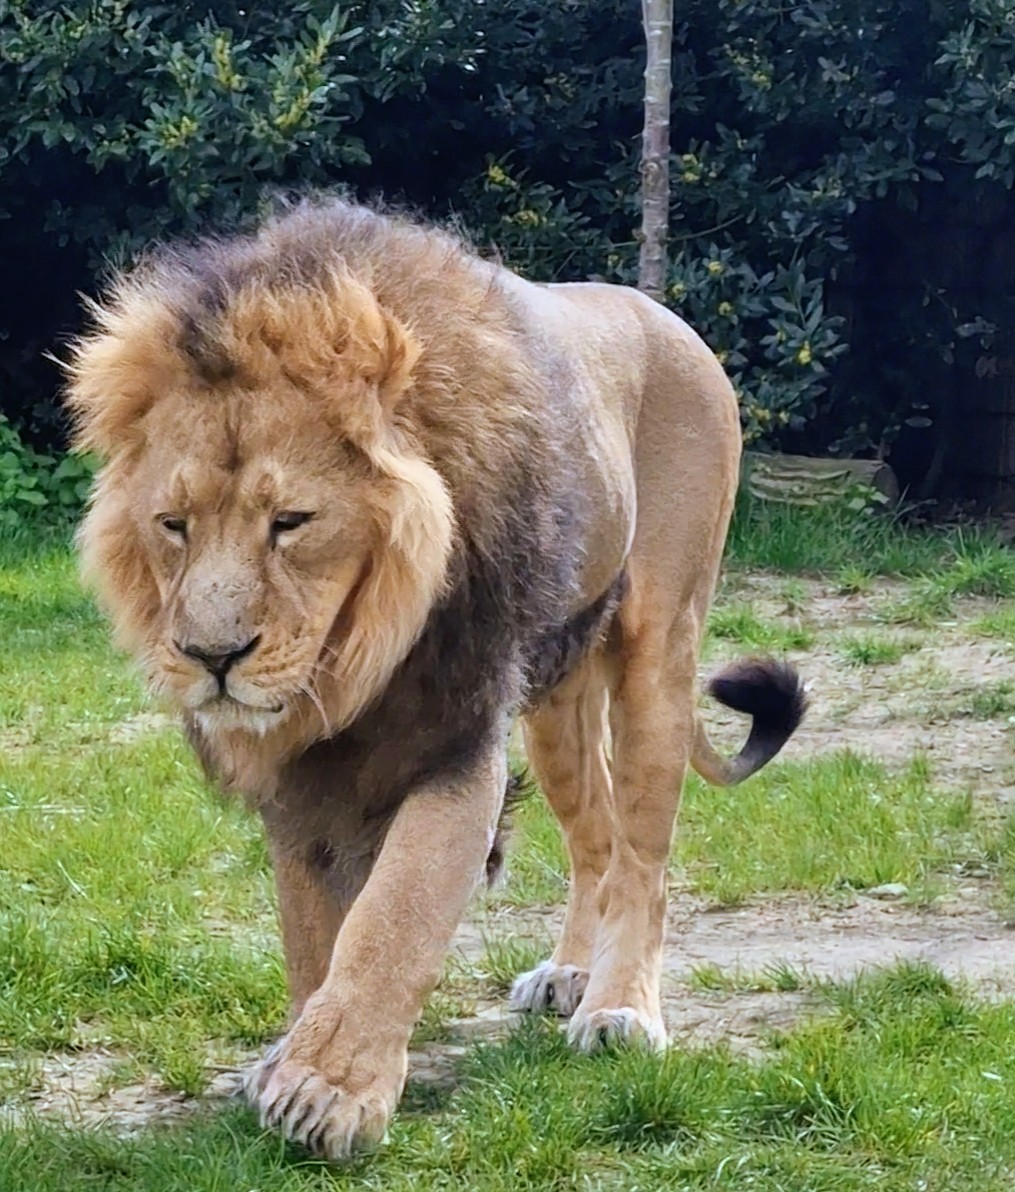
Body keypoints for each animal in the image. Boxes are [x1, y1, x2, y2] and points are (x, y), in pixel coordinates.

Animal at [65, 198, 805, 1160]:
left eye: (291, 521)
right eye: (173, 524)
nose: (211, 658)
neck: (353, 660)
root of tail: (662, 313)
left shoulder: (455, 736)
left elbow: (395, 913)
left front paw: (326, 1091)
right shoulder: (306, 781)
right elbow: (313, 931)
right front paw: (294, 1055)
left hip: (660, 652)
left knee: (644, 851)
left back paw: (617, 1012)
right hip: (555, 707)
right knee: (595, 841)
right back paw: (568, 972)